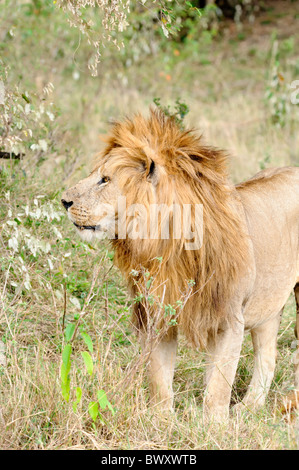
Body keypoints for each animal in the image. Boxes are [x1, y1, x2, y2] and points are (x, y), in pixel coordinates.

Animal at [61, 109, 299, 418]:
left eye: (105, 179)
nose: (64, 201)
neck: (167, 243)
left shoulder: (229, 318)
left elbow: (218, 385)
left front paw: (214, 424)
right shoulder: (158, 312)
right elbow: (160, 377)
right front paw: (161, 419)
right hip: (268, 306)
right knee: (268, 357)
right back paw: (250, 408)